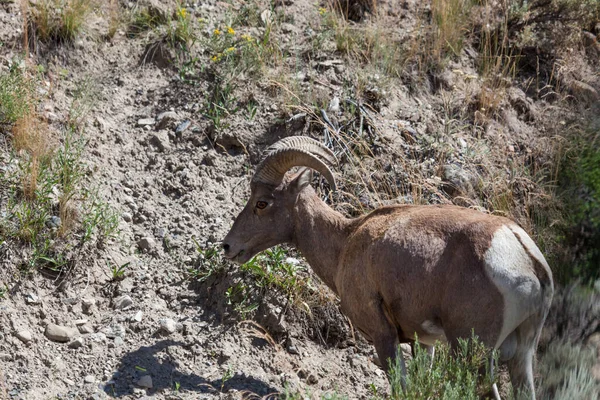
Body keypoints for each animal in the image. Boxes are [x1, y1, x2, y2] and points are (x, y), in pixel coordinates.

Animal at [223, 135, 556, 396]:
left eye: (262, 203)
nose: (228, 246)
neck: (346, 243)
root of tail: (524, 256)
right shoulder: (424, 344)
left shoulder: (383, 336)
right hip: (522, 357)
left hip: (473, 354)